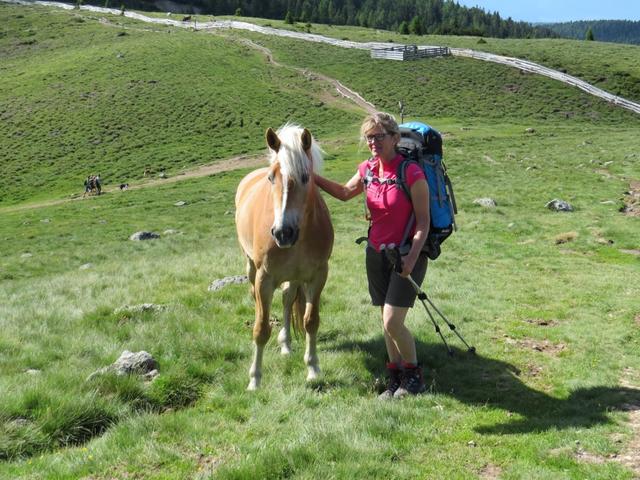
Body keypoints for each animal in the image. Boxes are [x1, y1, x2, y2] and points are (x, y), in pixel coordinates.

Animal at [235, 124, 336, 390]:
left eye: (306, 177)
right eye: (272, 178)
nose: (283, 233)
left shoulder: (317, 276)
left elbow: (311, 321)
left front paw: (312, 368)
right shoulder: (265, 278)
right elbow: (261, 329)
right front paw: (254, 380)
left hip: (294, 277)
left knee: (288, 298)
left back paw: (286, 344)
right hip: (251, 268)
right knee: (256, 298)